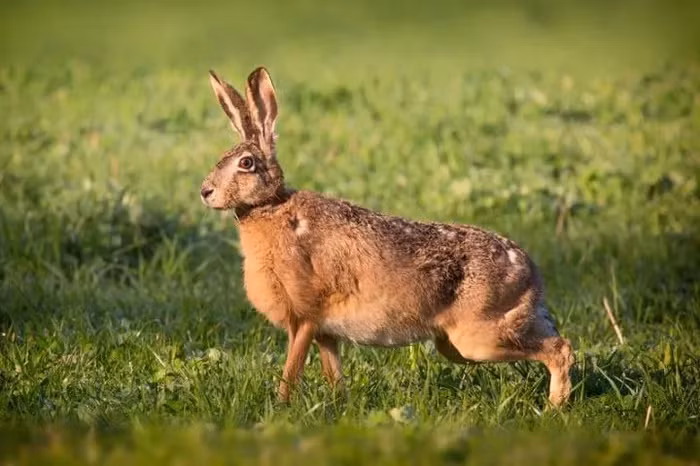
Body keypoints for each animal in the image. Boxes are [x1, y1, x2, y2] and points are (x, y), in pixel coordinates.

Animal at [200, 67, 575, 406]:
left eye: (246, 163)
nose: (205, 192)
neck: (271, 208)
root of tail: (529, 271)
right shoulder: (324, 331)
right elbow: (333, 372)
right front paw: (340, 405)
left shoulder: (304, 318)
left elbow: (291, 370)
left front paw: (279, 406)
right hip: (462, 343)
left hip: (477, 338)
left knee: (561, 350)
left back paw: (554, 408)